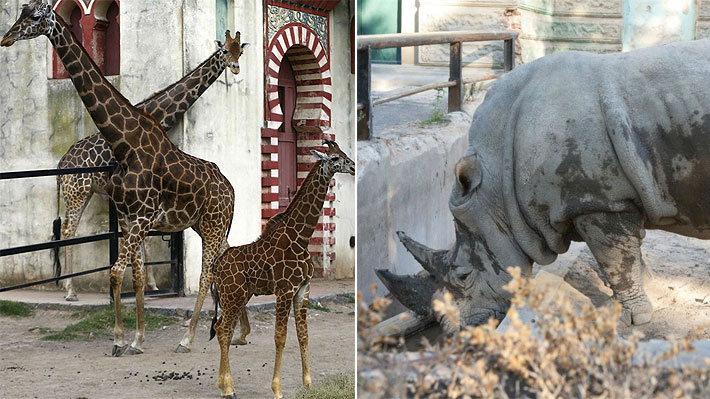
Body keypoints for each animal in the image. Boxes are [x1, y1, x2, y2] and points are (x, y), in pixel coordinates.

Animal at [56, 30, 250, 304]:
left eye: (239, 51)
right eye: (224, 51)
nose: (235, 68)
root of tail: (62, 161)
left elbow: (144, 240)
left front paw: (150, 285)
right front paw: (147, 286)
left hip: (84, 191)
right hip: (77, 190)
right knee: (68, 231)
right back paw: (70, 291)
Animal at [210, 141, 356, 399]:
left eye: (344, 153)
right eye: (335, 158)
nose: (353, 166)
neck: (302, 237)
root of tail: (216, 266)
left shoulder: (304, 289)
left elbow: (303, 334)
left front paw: (308, 384)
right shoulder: (285, 289)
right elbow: (280, 337)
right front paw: (277, 389)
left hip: (239, 296)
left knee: (222, 329)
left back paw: (223, 385)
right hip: (232, 295)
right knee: (223, 330)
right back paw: (229, 389)